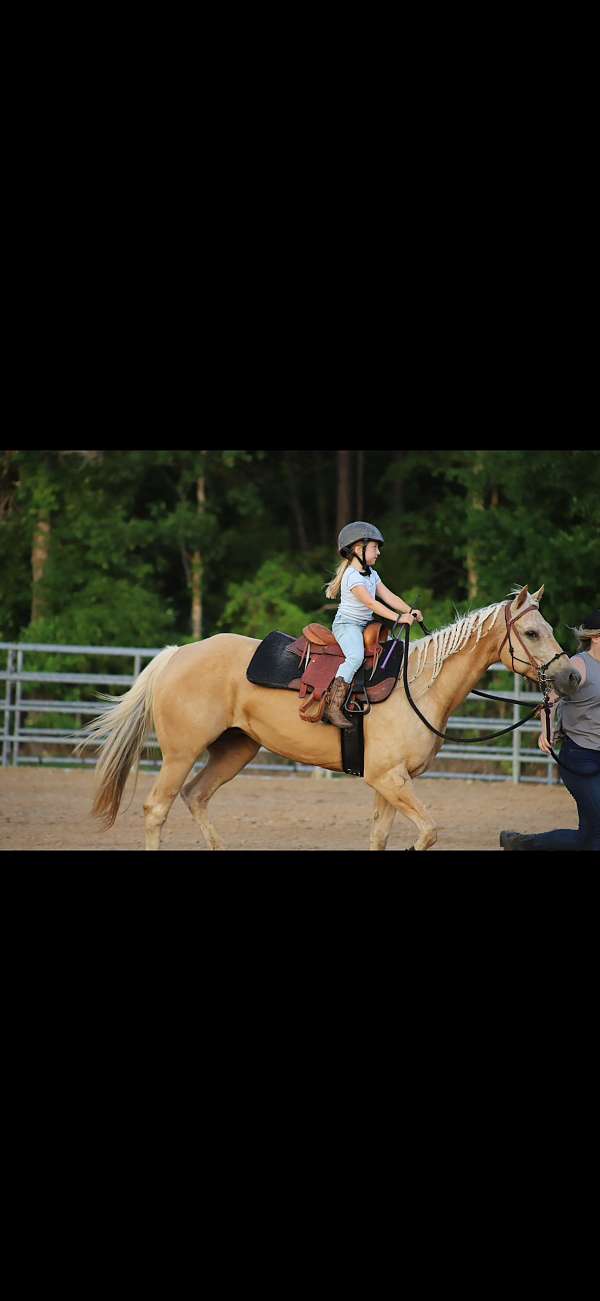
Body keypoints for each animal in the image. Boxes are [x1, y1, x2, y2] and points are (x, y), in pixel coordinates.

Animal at [75, 584, 580, 851]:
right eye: (532, 632)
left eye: (549, 628)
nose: (572, 675)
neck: (418, 686)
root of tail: (177, 655)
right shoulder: (389, 779)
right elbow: (428, 832)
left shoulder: (388, 783)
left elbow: (380, 838)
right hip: (181, 752)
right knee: (157, 808)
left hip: (236, 748)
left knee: (196, 797)